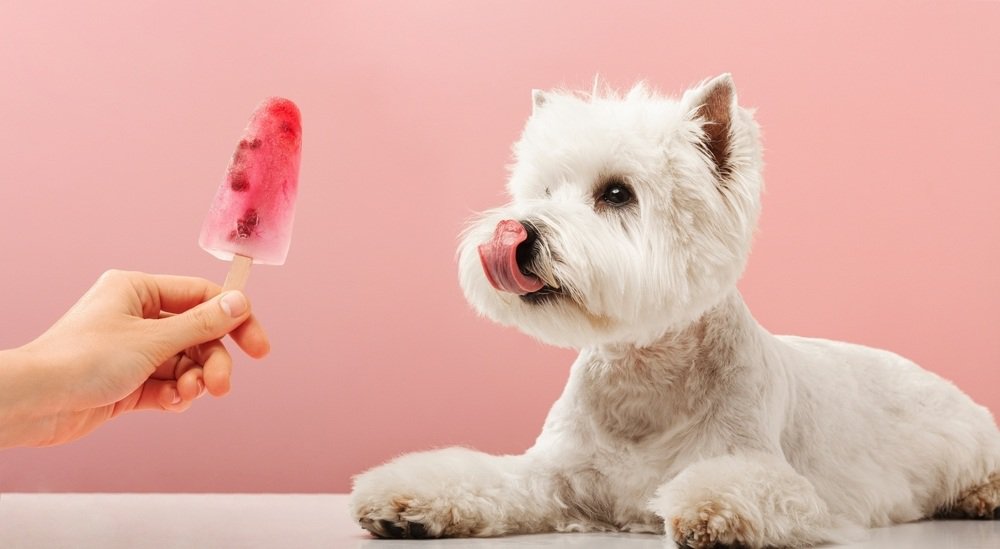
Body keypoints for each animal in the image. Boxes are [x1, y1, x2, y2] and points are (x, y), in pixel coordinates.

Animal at [346, 75, 1000, 544]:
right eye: (543, 190)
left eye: (616, 193)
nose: (517, 233)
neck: (644, 375)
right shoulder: (553, 473)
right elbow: (484, 475)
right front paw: (405, 501)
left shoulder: (767, 471)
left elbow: (737, 487)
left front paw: (709, 513)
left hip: (968, 434)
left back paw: (982, 495)